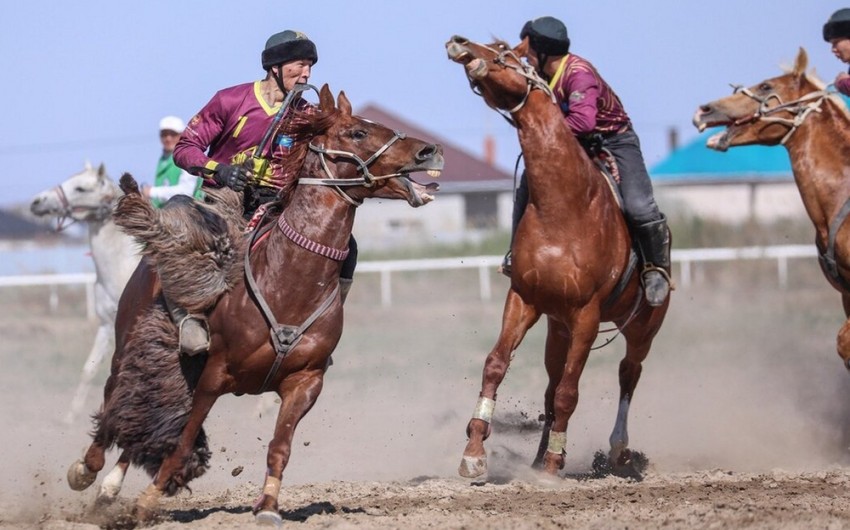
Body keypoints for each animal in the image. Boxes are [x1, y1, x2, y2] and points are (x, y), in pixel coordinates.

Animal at [29, 163, 139, 422]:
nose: (37, 202)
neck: (121, 266)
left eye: (81, 188)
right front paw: (71, 415)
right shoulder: (107, 324)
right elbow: (89, 369)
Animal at [66, 83, 444, 524]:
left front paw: (267, 506)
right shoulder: (213, 376)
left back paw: (110, 486)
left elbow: (279, 447)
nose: (429, 151)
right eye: (357, 132)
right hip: (128, 342)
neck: (289, 282)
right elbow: (183, 440)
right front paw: (147, 499)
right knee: (115, 398)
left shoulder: (305, 382)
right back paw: (86, 469)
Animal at [444, 35, 668, 476]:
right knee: (551, 386)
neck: (565, 206)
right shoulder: (524, 299)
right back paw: (537, 457)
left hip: (642, 329)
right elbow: (497, 365)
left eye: (503, 51)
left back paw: (616, 450)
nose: (459, 41)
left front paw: (552, 468)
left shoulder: (587, 315)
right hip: (557, 328)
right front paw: (474, 453)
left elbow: (569, 392)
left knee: (628, 373)